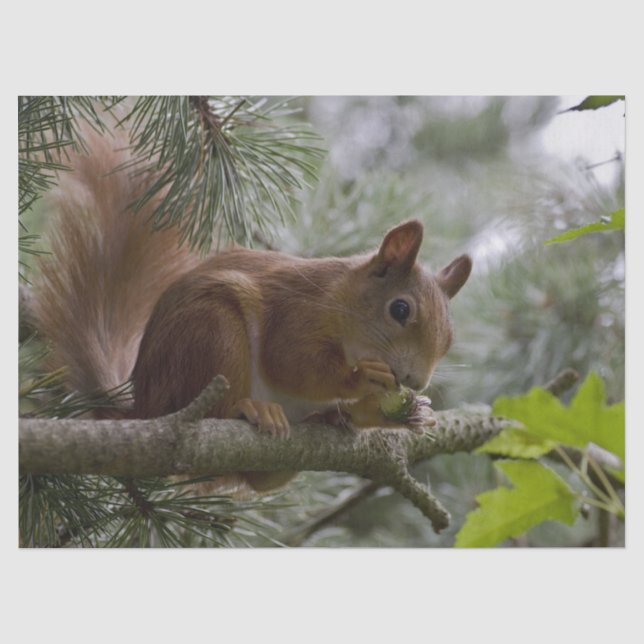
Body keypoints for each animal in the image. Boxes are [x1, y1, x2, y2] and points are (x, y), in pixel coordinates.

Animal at [31, 127, 472, 493]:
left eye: (450, 337)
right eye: (400, 310)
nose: (415, 382)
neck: (341, 302)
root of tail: (144, 410)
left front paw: (400, 413)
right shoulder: (297, 313)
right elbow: (293, 364)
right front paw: (363, 378)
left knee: (263, 481)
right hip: (212, 331)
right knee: (219, 409)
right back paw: (250, 408)